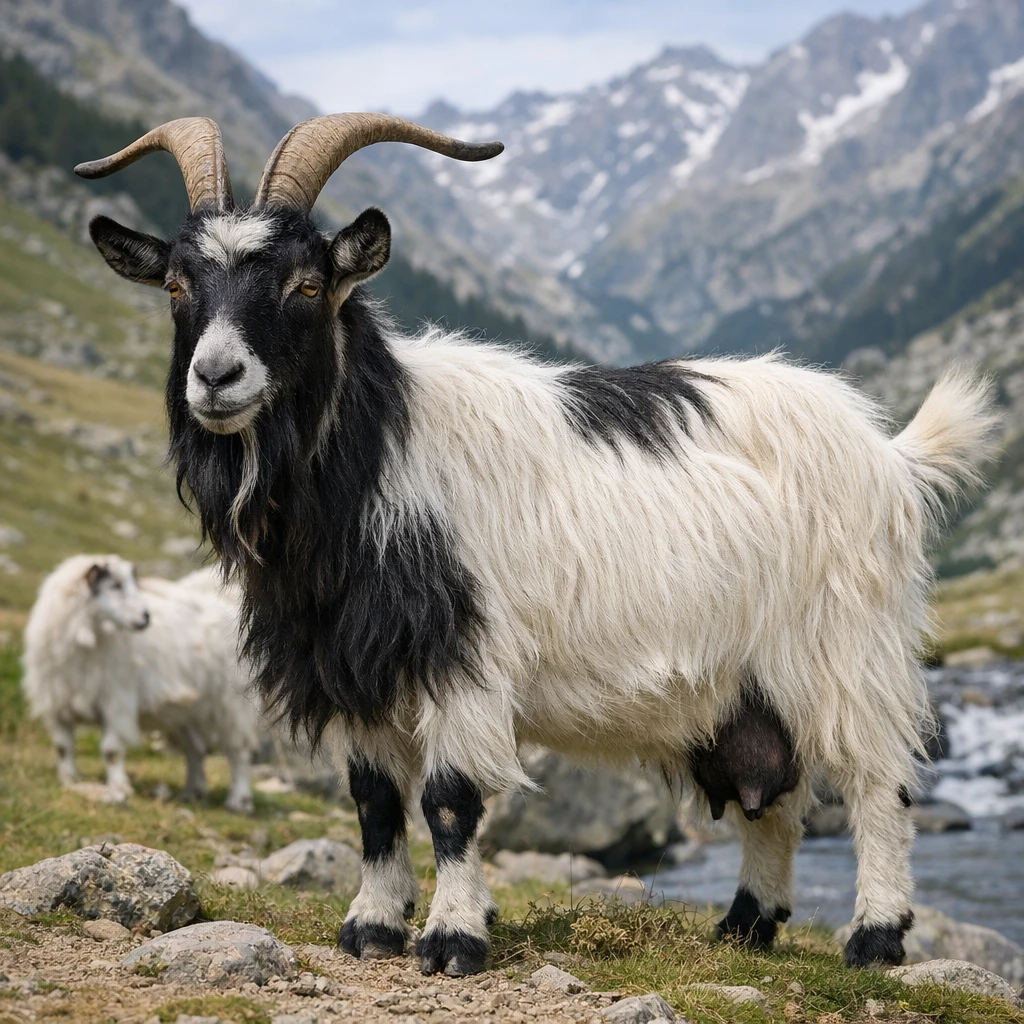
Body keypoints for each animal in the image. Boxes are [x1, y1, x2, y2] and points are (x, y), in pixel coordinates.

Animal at [22, 554, 260, 812]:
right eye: (115, 585)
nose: (145, 618)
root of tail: (228, 604)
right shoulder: (56, 705)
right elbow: (63, 747)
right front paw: (69, 780)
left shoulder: (116, 702)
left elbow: (112, 750)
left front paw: (118, 787)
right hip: (185, 713)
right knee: (195, 749)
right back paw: (191, 792)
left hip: (233, 705)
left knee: (239, 752)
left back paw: (239, 801)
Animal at [75, 114, 996, 976]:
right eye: (177, 285)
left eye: (306, 284)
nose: (216, 377)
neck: (381, 453)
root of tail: (890, 453)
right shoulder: (353, 663)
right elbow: (374, 802)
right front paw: (372, 926)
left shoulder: (463, 658)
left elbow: (449, 801)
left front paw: (452, 938)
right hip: (746, 690)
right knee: (777, 802)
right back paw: (743, 927)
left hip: (845, 649)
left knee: (879, 785)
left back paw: (875, 936)